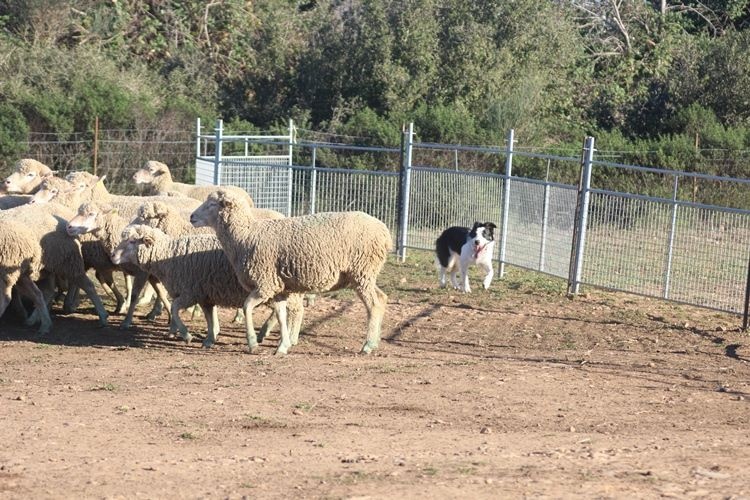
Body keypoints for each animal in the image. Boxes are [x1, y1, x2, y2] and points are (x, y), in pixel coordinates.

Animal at [112, 224, 306, 348]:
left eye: (132, 241)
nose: (113, 255)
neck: (168, 255)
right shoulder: (205, 293)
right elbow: (209, 316)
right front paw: (209, 339)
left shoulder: (191, 292)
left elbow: (175, 309)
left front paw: (187, 335)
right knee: (283, 310)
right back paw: (269, 334)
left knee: (296, 311)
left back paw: (290, 338)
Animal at [189, 188, 394, 356]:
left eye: (212, 204)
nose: (191, 217)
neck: (244, 236)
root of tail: (385, 232)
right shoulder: (278, 288)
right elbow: (281, 315)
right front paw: (282, 346)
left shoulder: (265, 284)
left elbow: (247, 306)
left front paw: (253, 343)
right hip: (365, 274)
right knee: (382, 298)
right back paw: (375, 341)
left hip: (362, 271)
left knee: (374, 304)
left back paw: (367, 345)